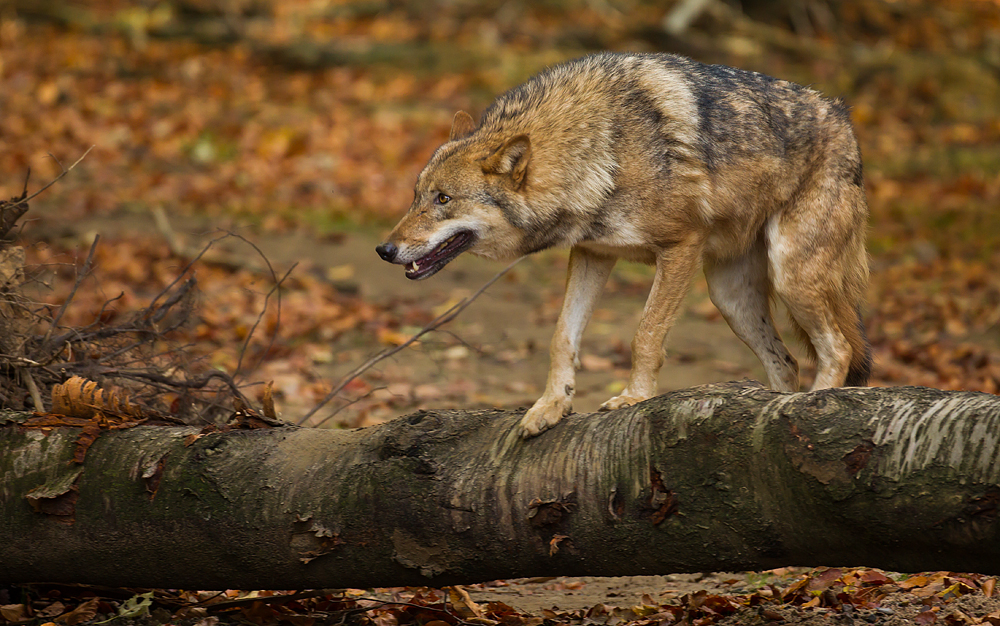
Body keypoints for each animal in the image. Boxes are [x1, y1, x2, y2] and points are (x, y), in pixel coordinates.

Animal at [376, 51, 876, 436]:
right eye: (416, 195)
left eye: (443, 199)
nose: (384, 251)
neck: (600, 149)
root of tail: (845, 118)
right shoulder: (593, 253)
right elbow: (561, 337)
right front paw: (550, 407)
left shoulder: (681, 246)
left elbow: (645, 336)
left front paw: (633, 398)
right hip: (730, 299)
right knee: (787, 363)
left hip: (790, 278)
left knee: (838, 349)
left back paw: (810, 409)